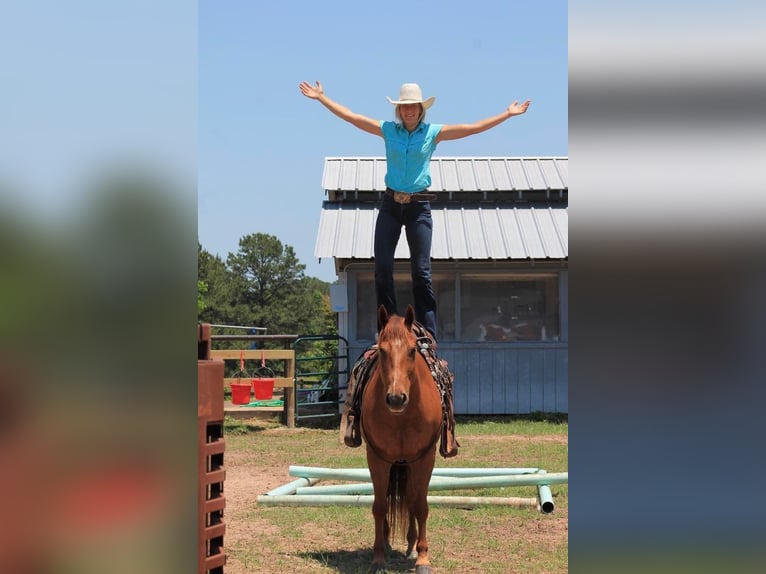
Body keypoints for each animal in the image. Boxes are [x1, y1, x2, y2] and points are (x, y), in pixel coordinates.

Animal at [364, 304, 448, 572]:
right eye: (382, 350)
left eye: (412, 351)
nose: (395, 398)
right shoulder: (378, 459)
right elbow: (380, 506)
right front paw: (379, 556)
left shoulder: (423, 459)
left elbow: (420, 505)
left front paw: (423, 558)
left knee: (411, 499)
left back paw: (411, 547)